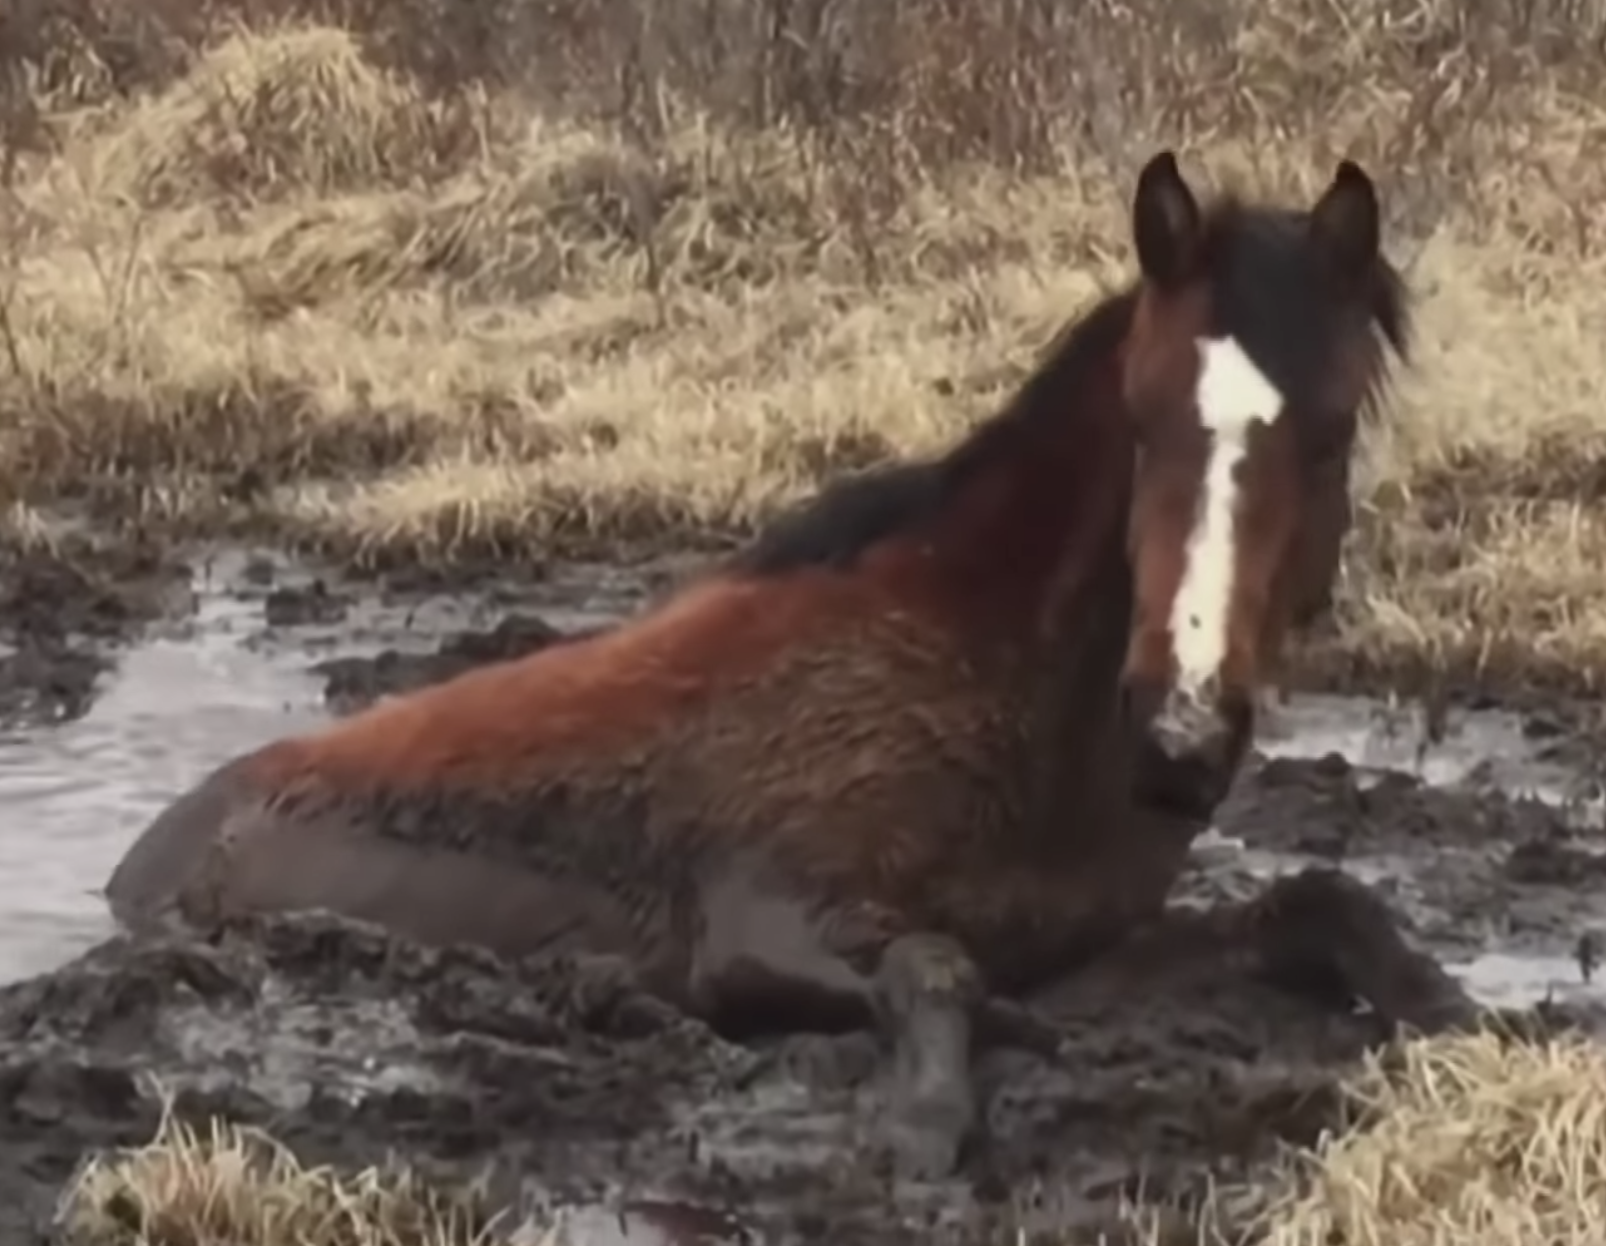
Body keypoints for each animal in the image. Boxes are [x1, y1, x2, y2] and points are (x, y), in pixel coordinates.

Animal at [103, 151, 1473, 1178]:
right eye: (1142, 417)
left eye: (1333, 432)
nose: (1179, 737)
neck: (984, 683)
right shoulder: (769, 909)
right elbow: (937, 968)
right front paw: (925, 1126)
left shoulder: (1100, 944)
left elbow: (1318, 905)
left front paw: (1458, 1011)